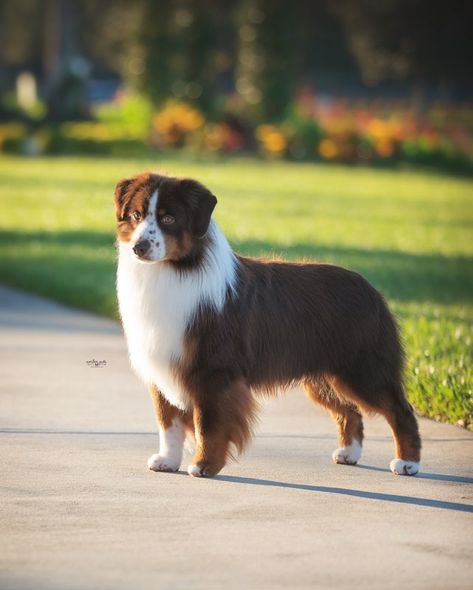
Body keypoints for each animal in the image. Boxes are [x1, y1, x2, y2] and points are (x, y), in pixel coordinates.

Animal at [114, 171, 420, 480]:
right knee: (349, 410)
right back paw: (349, 453)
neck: (172, 270)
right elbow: (168, 422)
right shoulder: (163, 362)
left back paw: (408, 463)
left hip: (363, 369)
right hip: (324, 377)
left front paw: (204, 465)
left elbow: (208, 423)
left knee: (399, 409)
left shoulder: (214, 371)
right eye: (137, 215)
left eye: (168, 219)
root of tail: (372, 289)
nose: (139, 247)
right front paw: (167, 460)